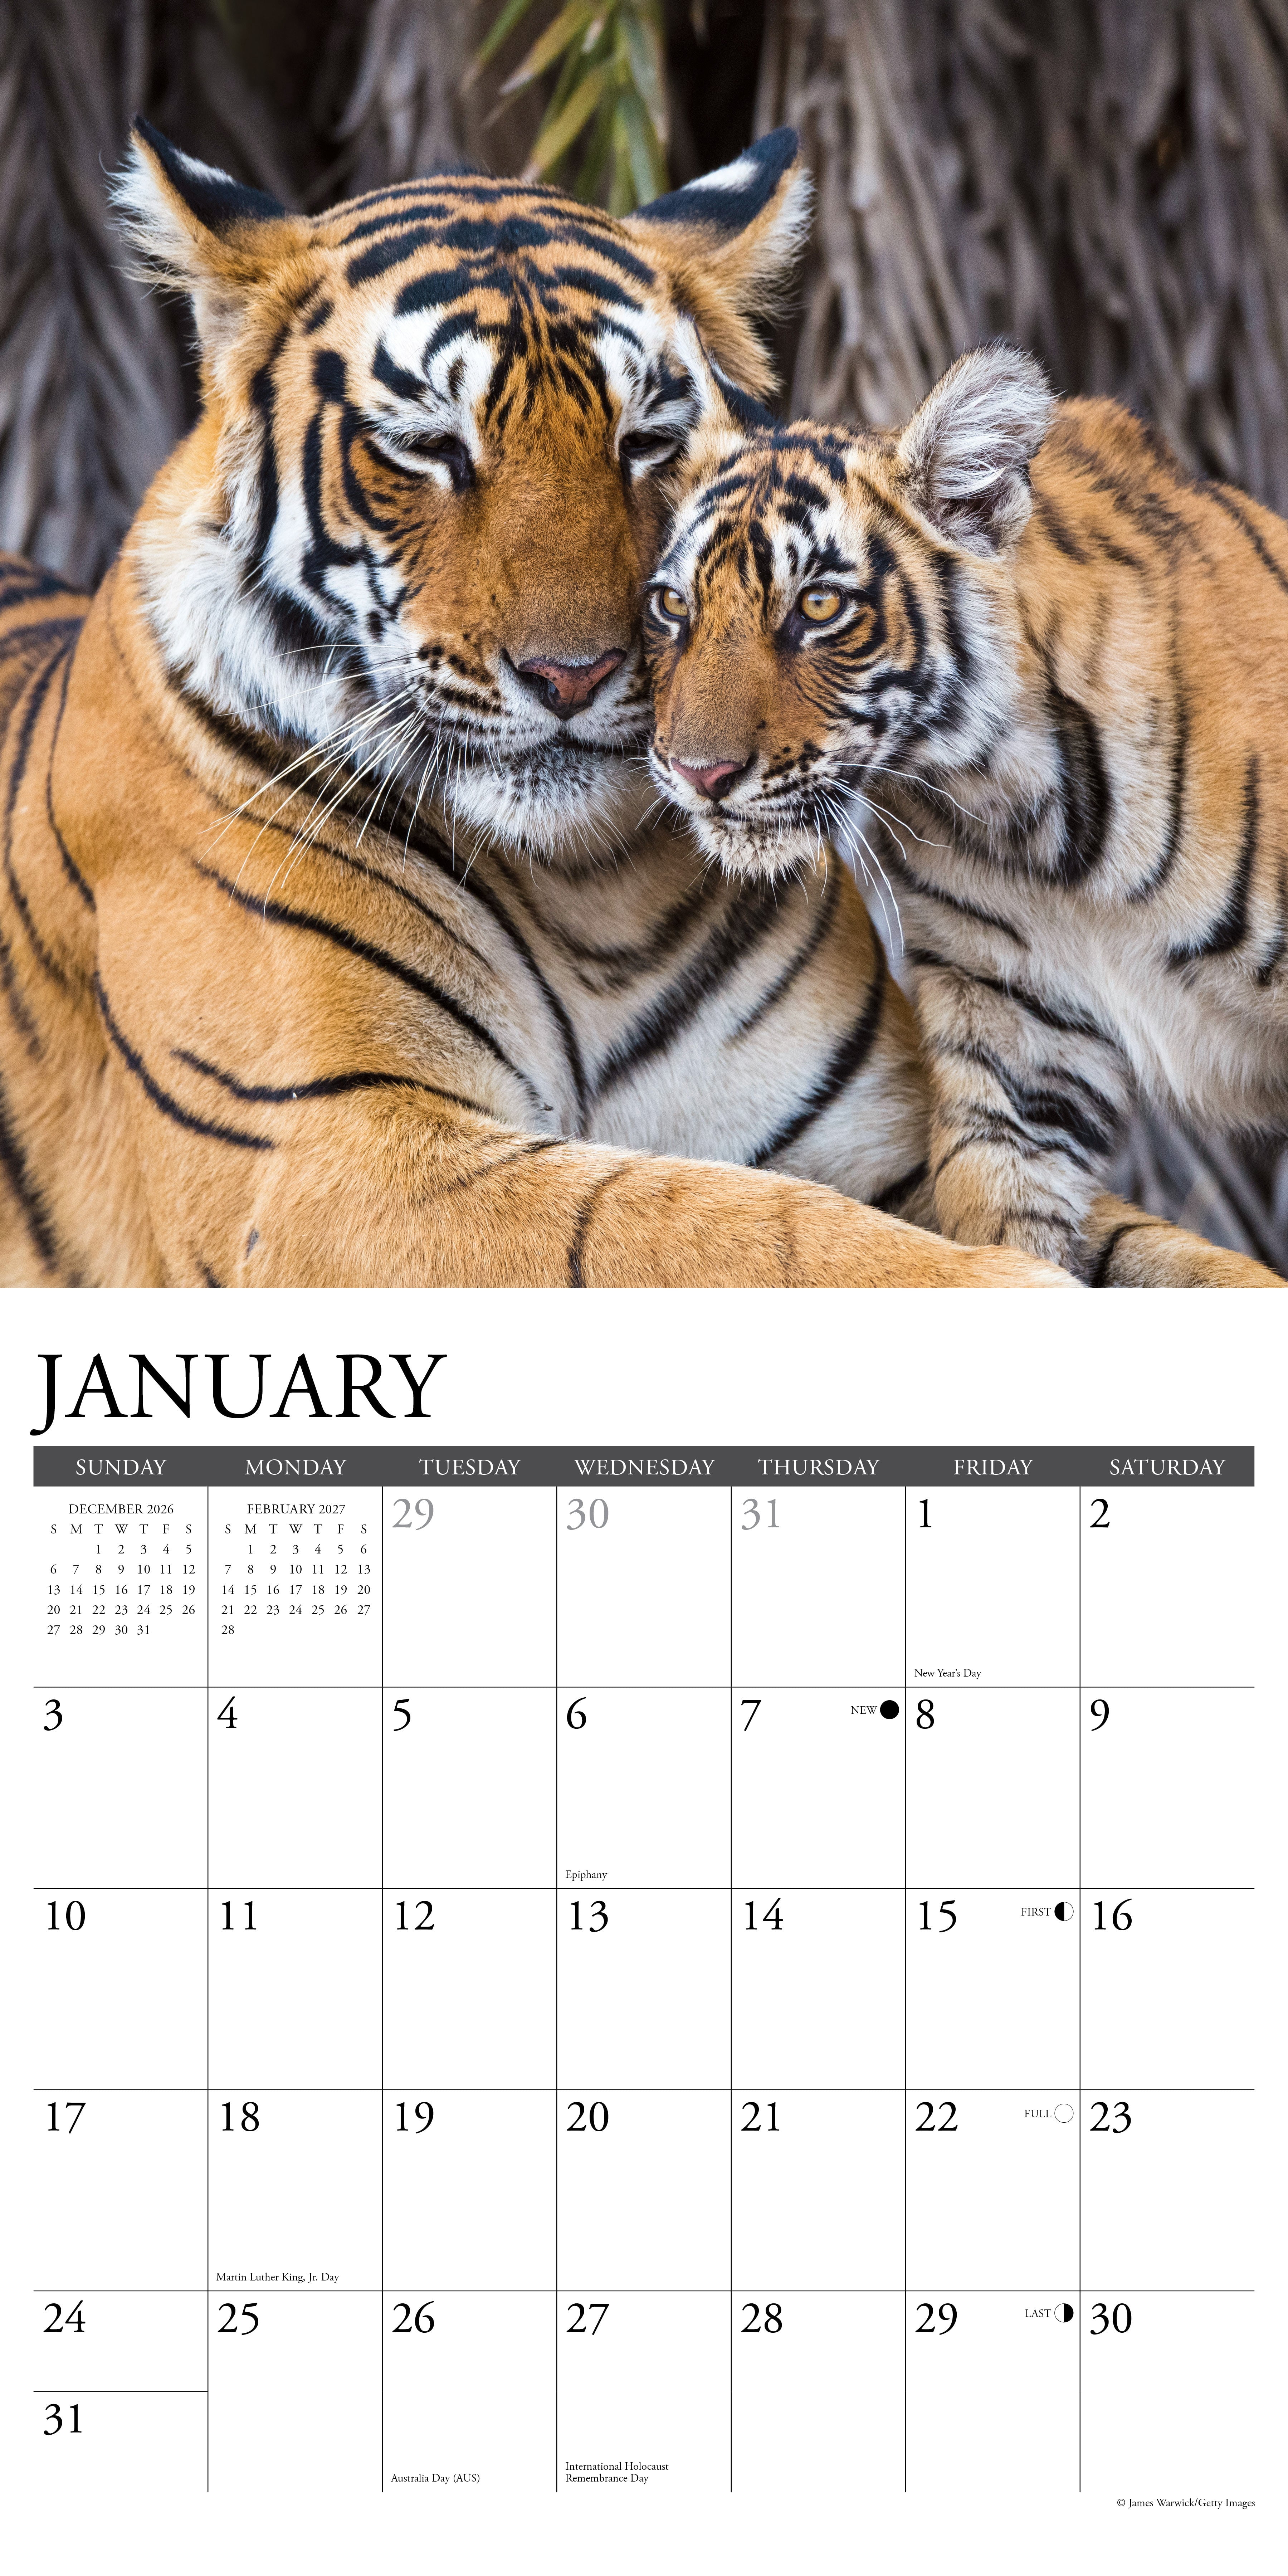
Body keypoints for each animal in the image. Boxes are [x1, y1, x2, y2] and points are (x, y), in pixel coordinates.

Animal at [0, 125, 1079, 1291]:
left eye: (648, 440)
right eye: (429, 446)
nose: (574, 673)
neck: (594, 899)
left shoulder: (884, 1134)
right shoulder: (325, 1151)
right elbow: (687, 1223)